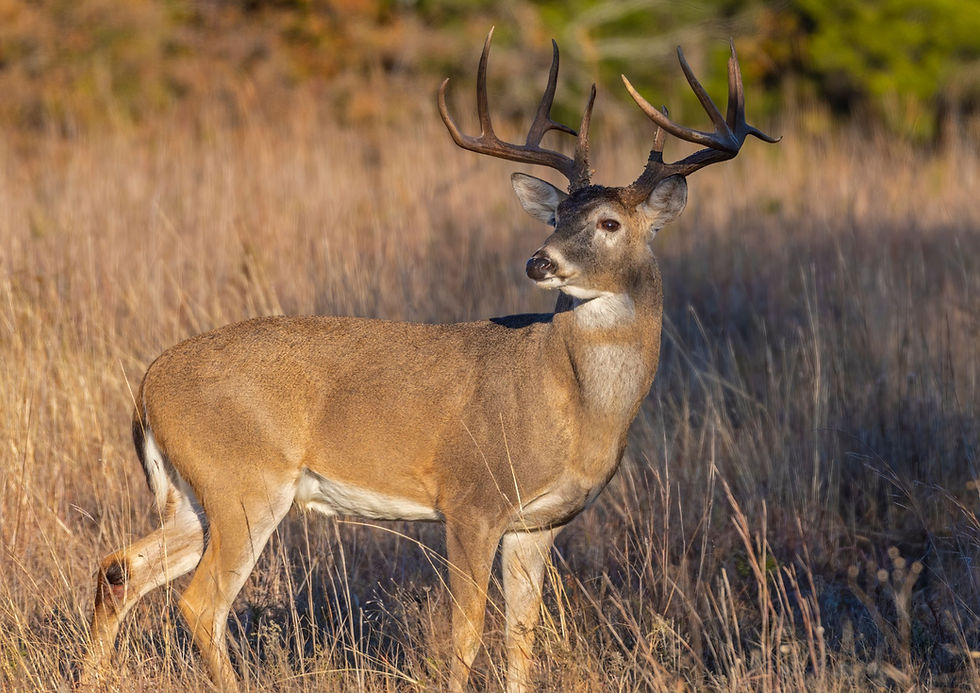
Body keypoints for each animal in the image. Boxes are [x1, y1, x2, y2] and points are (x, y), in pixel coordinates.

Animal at [80, 28, 776, 693]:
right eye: (556, 213)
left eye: (608, 223)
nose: (539, 260)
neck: (571, 402)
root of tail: (148, 386)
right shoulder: (471, 498)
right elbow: (466, 631)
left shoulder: (538, 524)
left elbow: (522, 635)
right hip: (243, 481)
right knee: (200, 604)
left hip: (193, 495)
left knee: (119, 568)